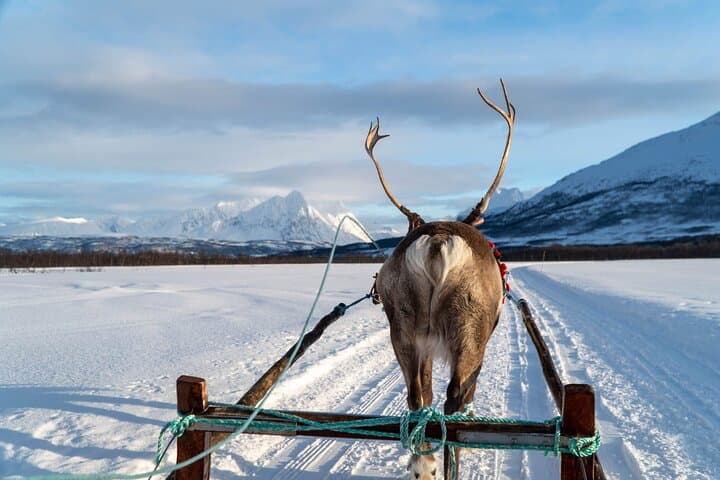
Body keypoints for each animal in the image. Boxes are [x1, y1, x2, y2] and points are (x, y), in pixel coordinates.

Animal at [365, 80, 515, 480]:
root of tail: (437, 241)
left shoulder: (425, 344)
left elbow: (424, 394)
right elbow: (467, 396)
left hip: (403, 328)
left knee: (417, 398)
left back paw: (423, 465)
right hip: (469, 329)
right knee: (452, 403)